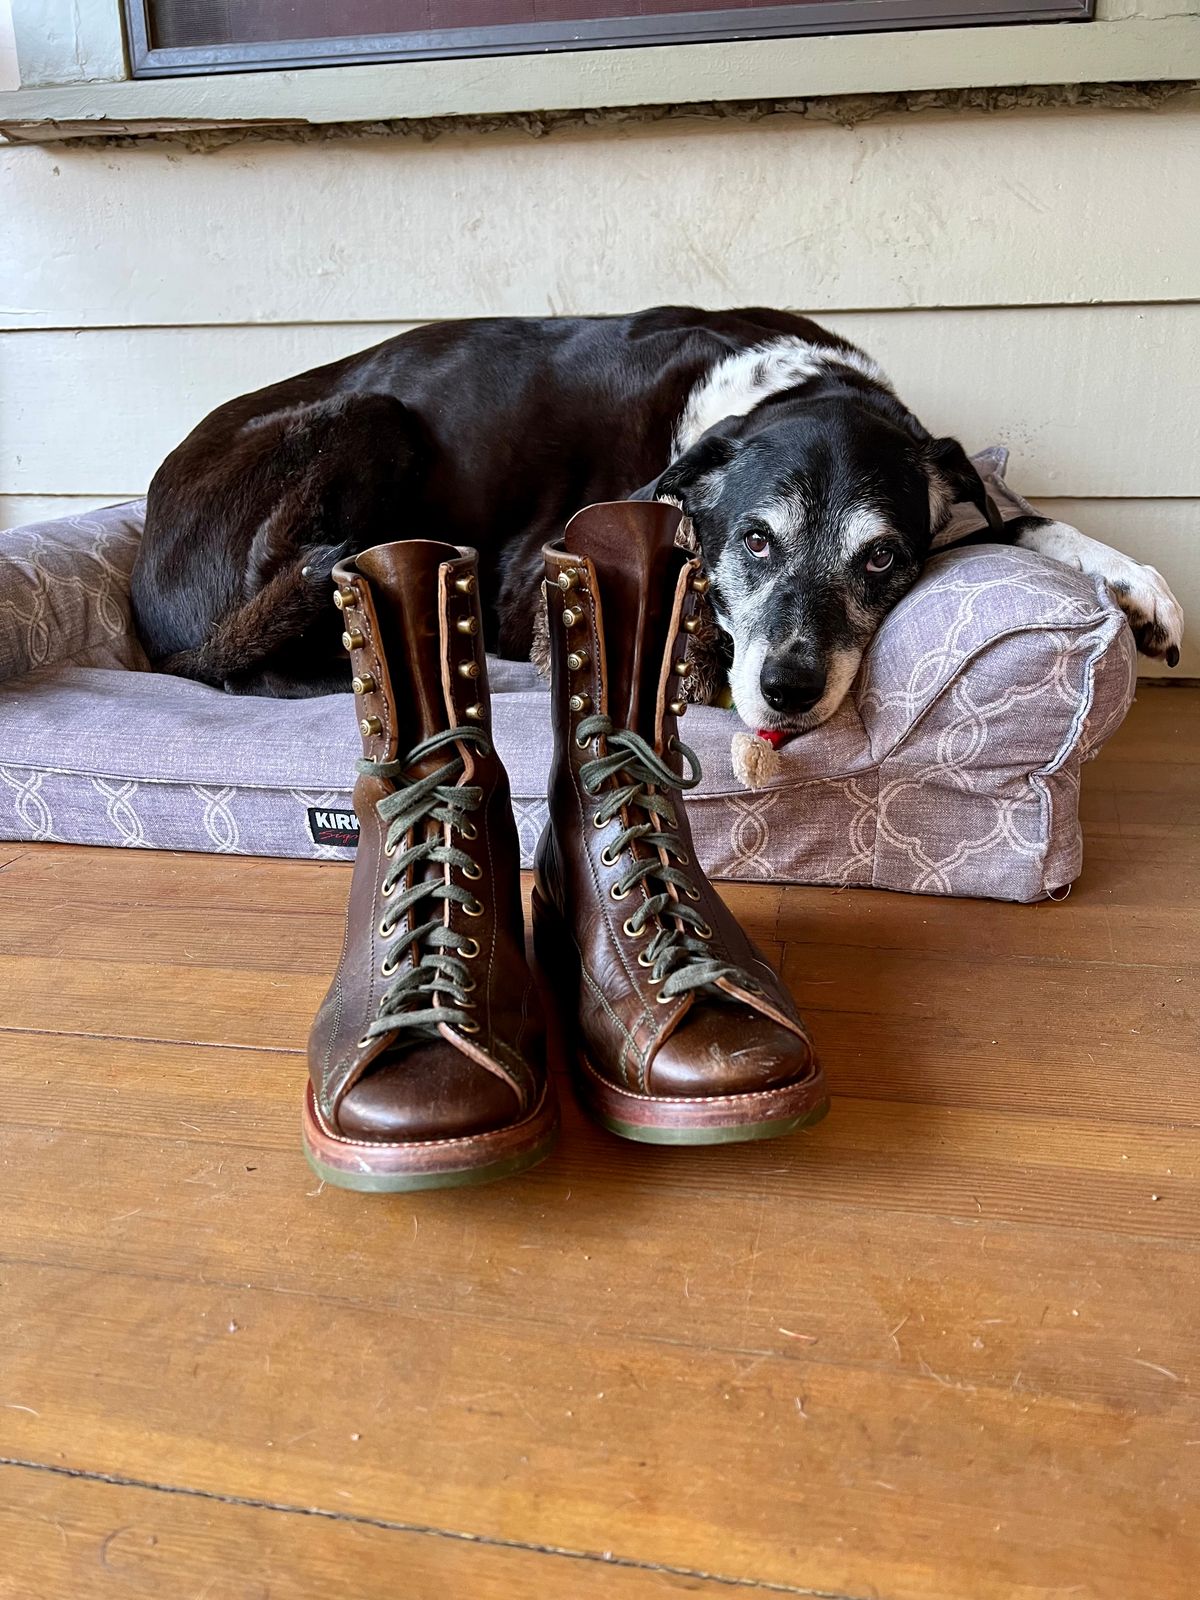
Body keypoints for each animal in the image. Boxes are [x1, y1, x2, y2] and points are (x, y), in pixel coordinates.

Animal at [131, 304, 1184, 732]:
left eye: (884, 560)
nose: (789, 692)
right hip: (371, 417)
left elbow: (1013, 518)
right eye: (755, 538)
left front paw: (1131, 580)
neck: (785, 389)